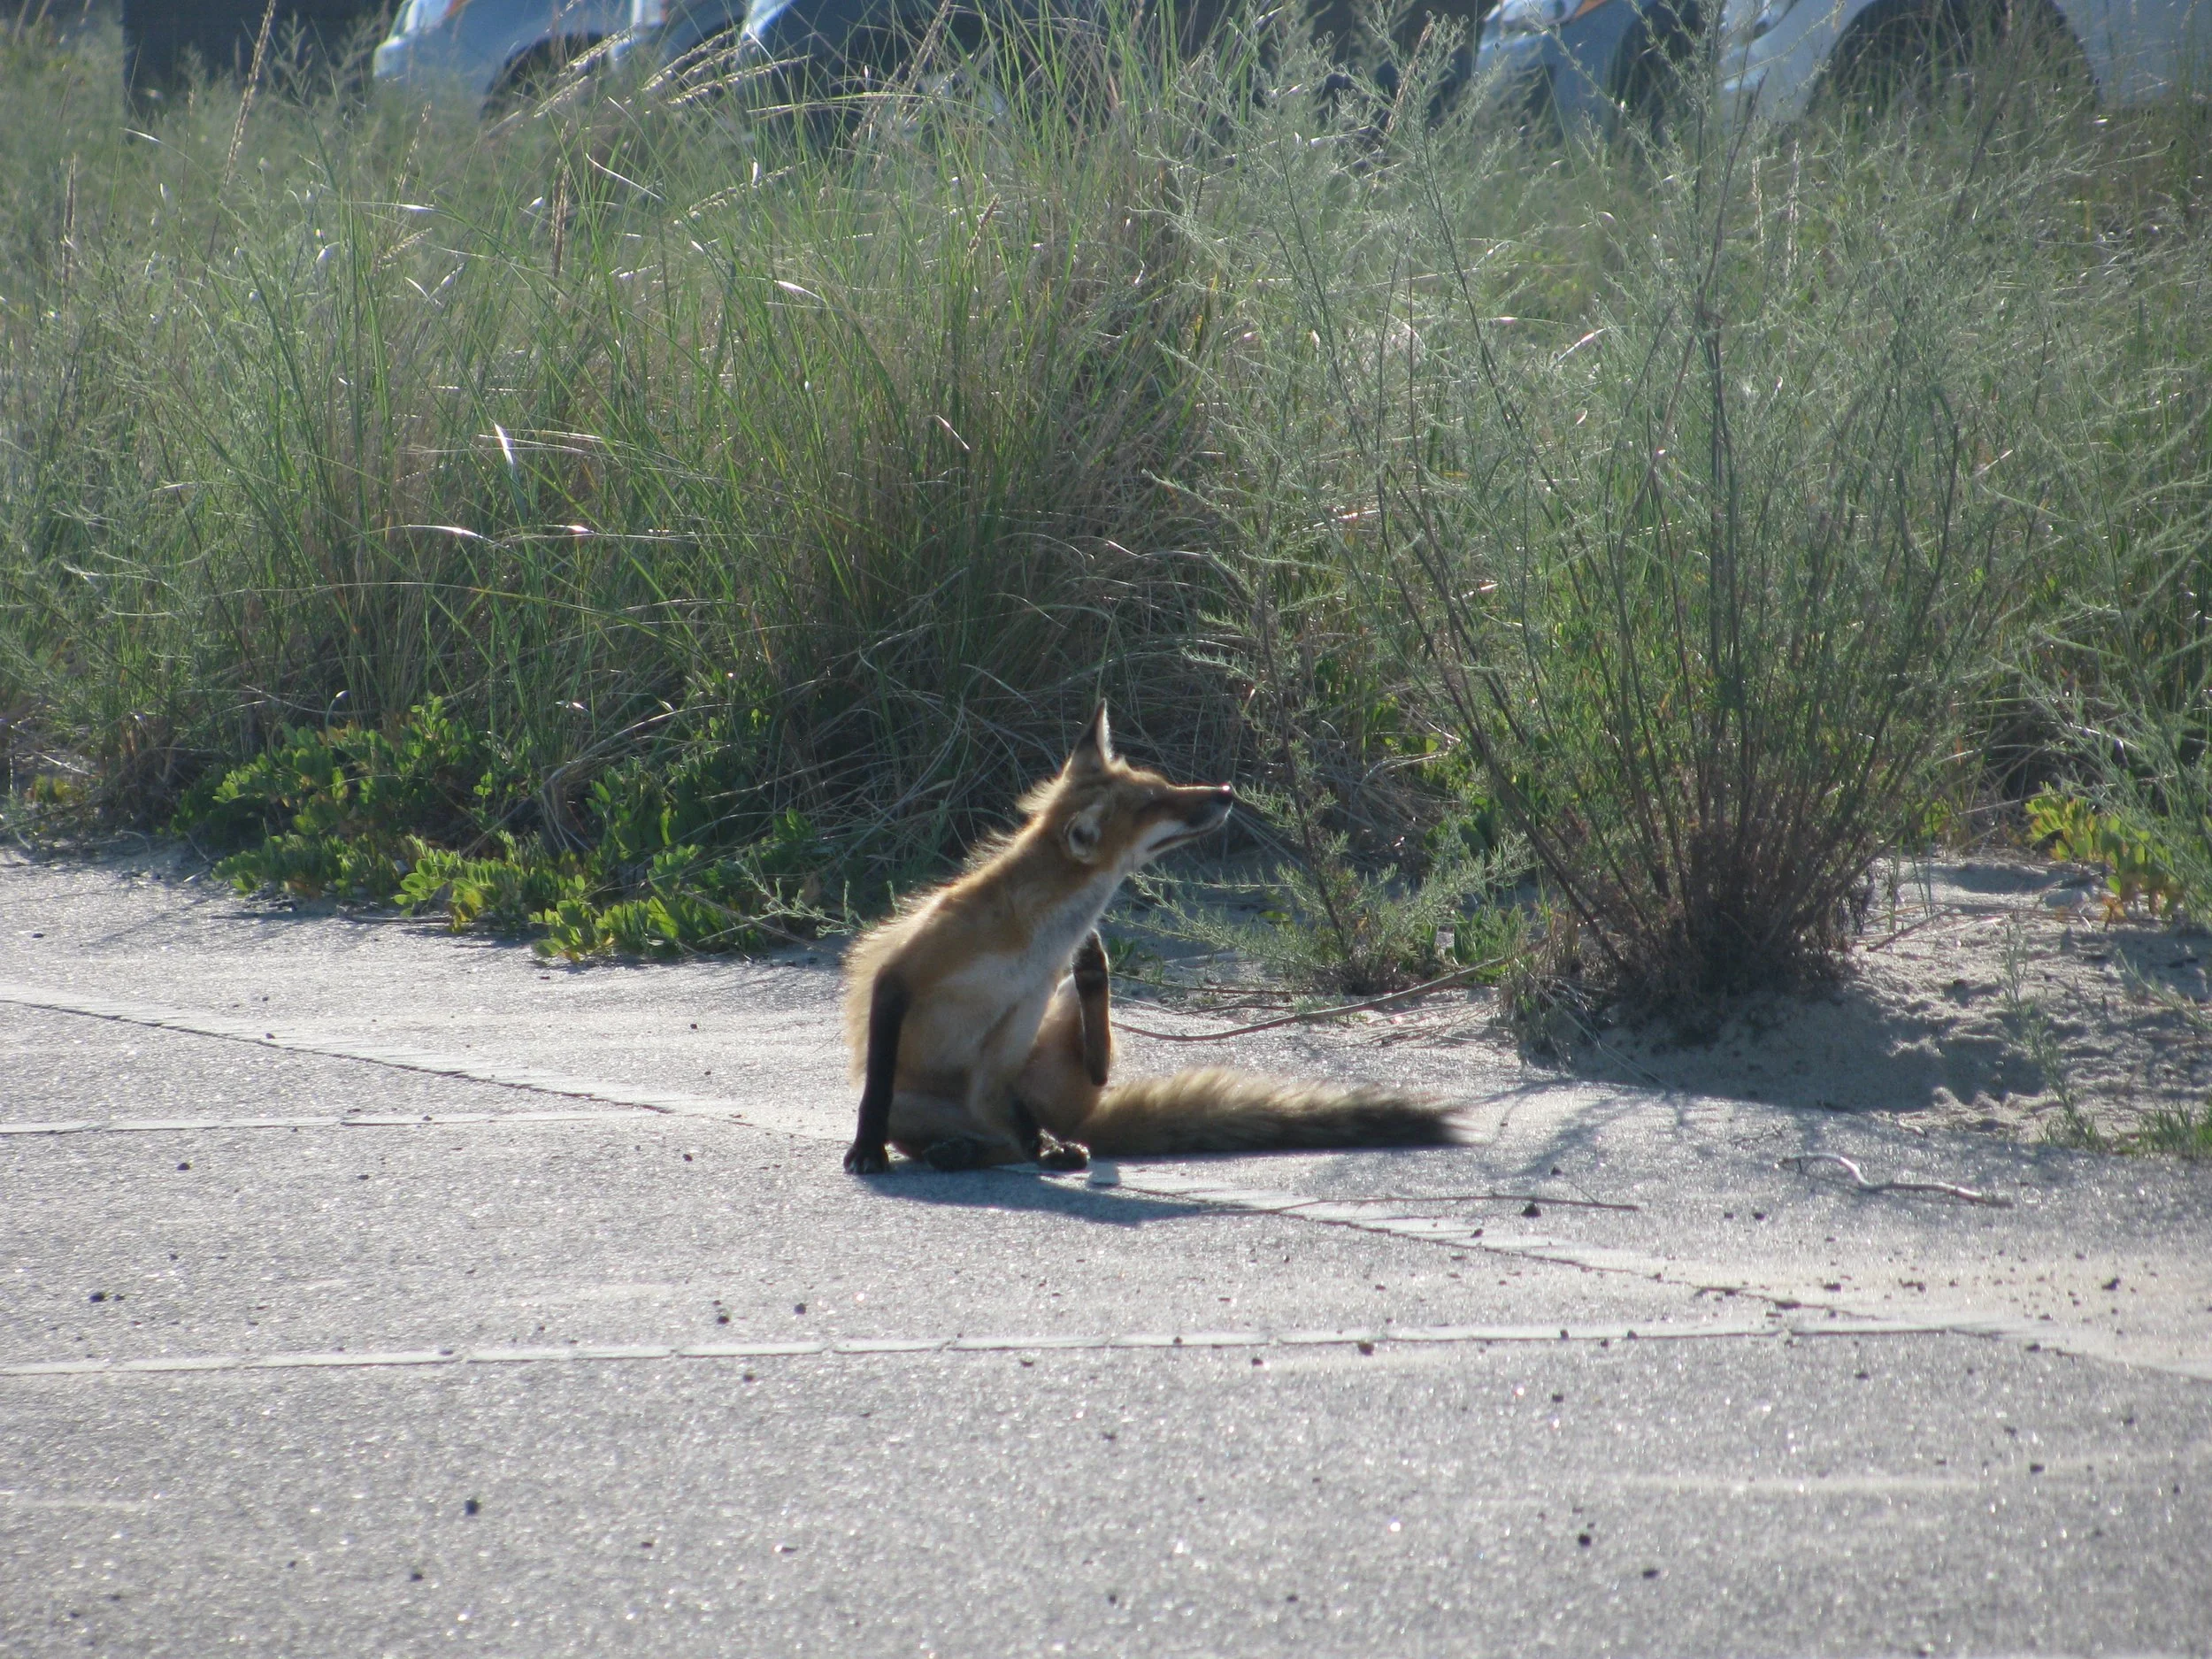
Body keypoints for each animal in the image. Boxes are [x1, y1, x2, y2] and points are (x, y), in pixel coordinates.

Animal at [840, 706, 1462, 1173]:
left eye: (1162, 786)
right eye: (1153, 805)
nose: (1226, 790)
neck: (1034, 939)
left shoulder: (1022, 1013)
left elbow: (1018, 1119)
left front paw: (1041, 1146)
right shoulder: (907, 971)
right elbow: (876, 1091)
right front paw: (866, 1150)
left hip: (1049, 1038)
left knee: (1055, 1105)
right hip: (925, 1103)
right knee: (966, 1134)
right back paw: (956, 1149)